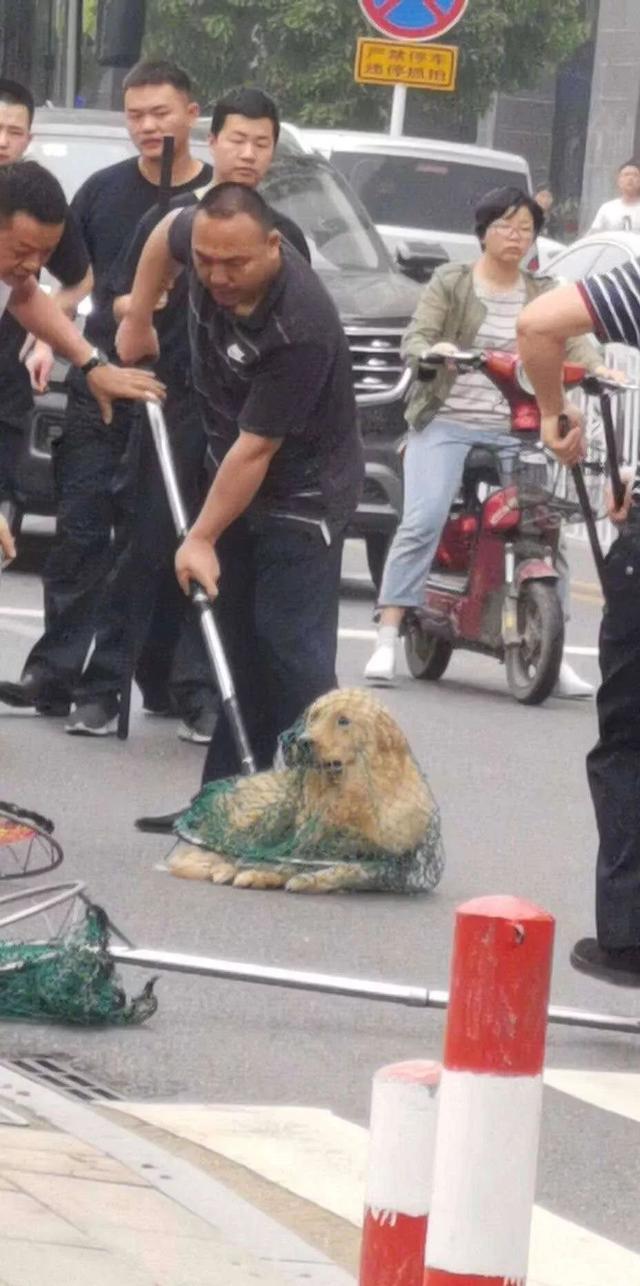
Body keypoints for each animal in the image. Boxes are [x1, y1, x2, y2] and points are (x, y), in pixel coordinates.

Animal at [167, 689, 442, 889]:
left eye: (343, 721)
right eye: (314, 716)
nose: (303, 741)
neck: (351, 796)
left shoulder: (385, 860)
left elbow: (345, 870)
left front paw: (308, 879)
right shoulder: (302, 843)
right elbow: (280, 863)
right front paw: (257, 874)